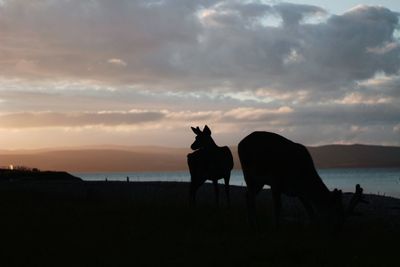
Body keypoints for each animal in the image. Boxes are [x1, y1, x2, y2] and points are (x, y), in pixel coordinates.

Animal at [238, 132, 366, 228]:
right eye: (336, 211)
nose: (338, 227)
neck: (302, 178)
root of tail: (240, 144)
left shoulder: (300, 192)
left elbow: (311, 212)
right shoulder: (276, 182)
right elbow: (278, 208)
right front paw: (277, 227)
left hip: (258, 182)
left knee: (247, 195)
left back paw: (252, 223)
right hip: (249, 175)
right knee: (251, 198)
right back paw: (254, 224)